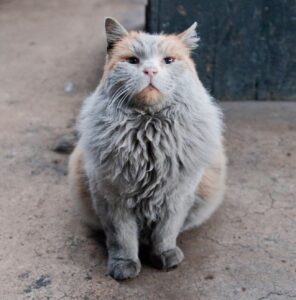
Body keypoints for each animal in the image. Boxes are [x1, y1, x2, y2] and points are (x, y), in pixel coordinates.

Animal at [69, 17, 227, 282]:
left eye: (168, 61)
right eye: (133, 61)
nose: (150, 71)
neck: (149, 132)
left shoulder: (177, 197)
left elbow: (166, 233)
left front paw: (164, 256)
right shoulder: (112, 200)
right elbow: (122, 240)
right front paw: (124, 266)